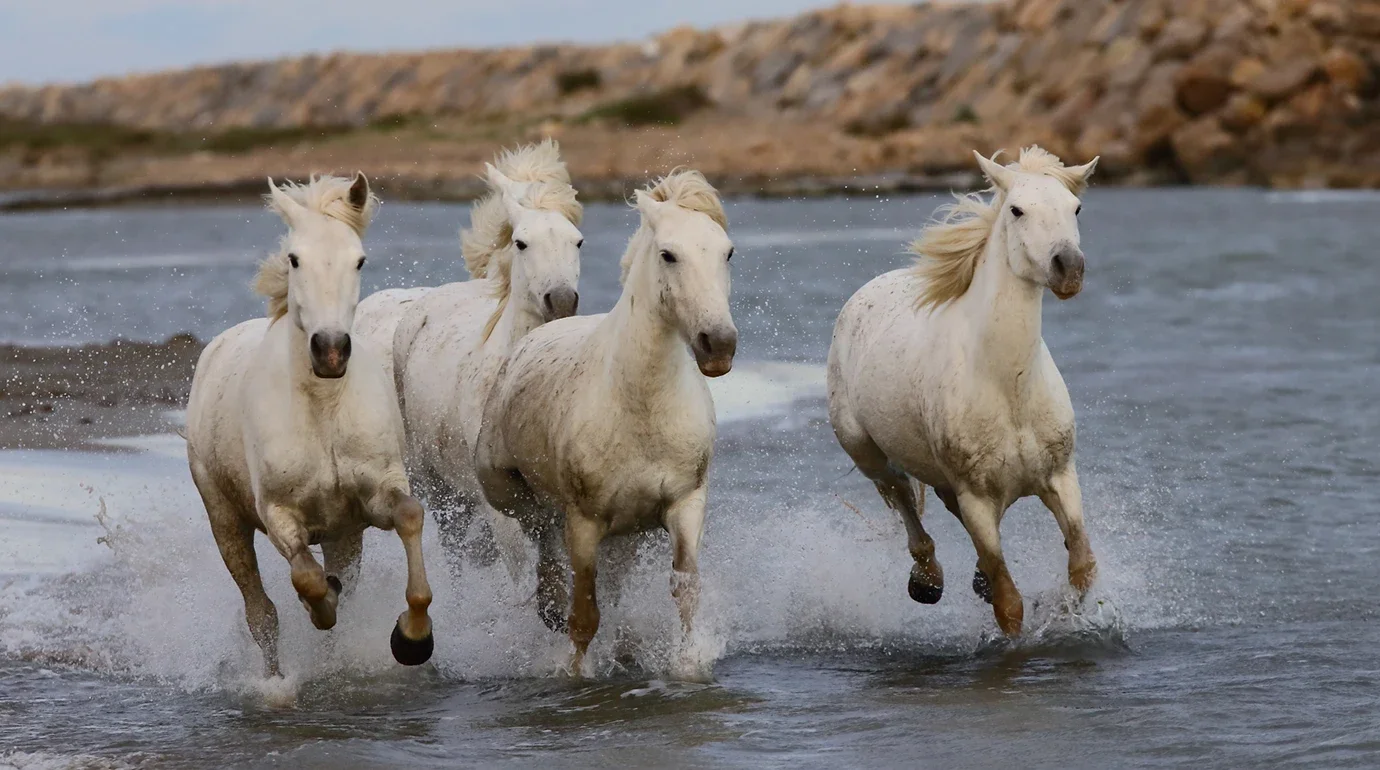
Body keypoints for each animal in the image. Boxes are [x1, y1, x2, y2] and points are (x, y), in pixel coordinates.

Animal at [185, 173, 435, 677]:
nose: (332, 350)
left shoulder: (373, 496)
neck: (323, 410)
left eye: (359, 259)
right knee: (260, 612)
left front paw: (412, 638)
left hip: (344, 534)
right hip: (225, 519)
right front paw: (322, 606)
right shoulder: (279, 514)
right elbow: (307, 579)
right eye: (294, 258)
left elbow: (409, 515)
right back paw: (276, 680)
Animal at [475, 170, 736, 674]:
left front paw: (687, 663)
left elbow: (685, 591)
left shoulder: (685, 504)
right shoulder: (584, 523)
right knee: (542, 544)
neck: (641, 408)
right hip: (509, 493)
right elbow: (583, 616)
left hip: (626, 537)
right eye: (668, 254)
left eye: (727, 251)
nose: (719, 344)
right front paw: (575, 671)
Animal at [826, 147, 1099, 637]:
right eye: (1016, 210)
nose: (1068, 268)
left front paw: (1064, 611)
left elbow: (1082, 566)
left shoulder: (1060, 477)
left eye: (1076, 208)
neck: (1008, 386)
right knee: (900, 496)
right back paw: (926, 581)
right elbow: (1009, 605)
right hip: (865, 450)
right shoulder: (977, 497)